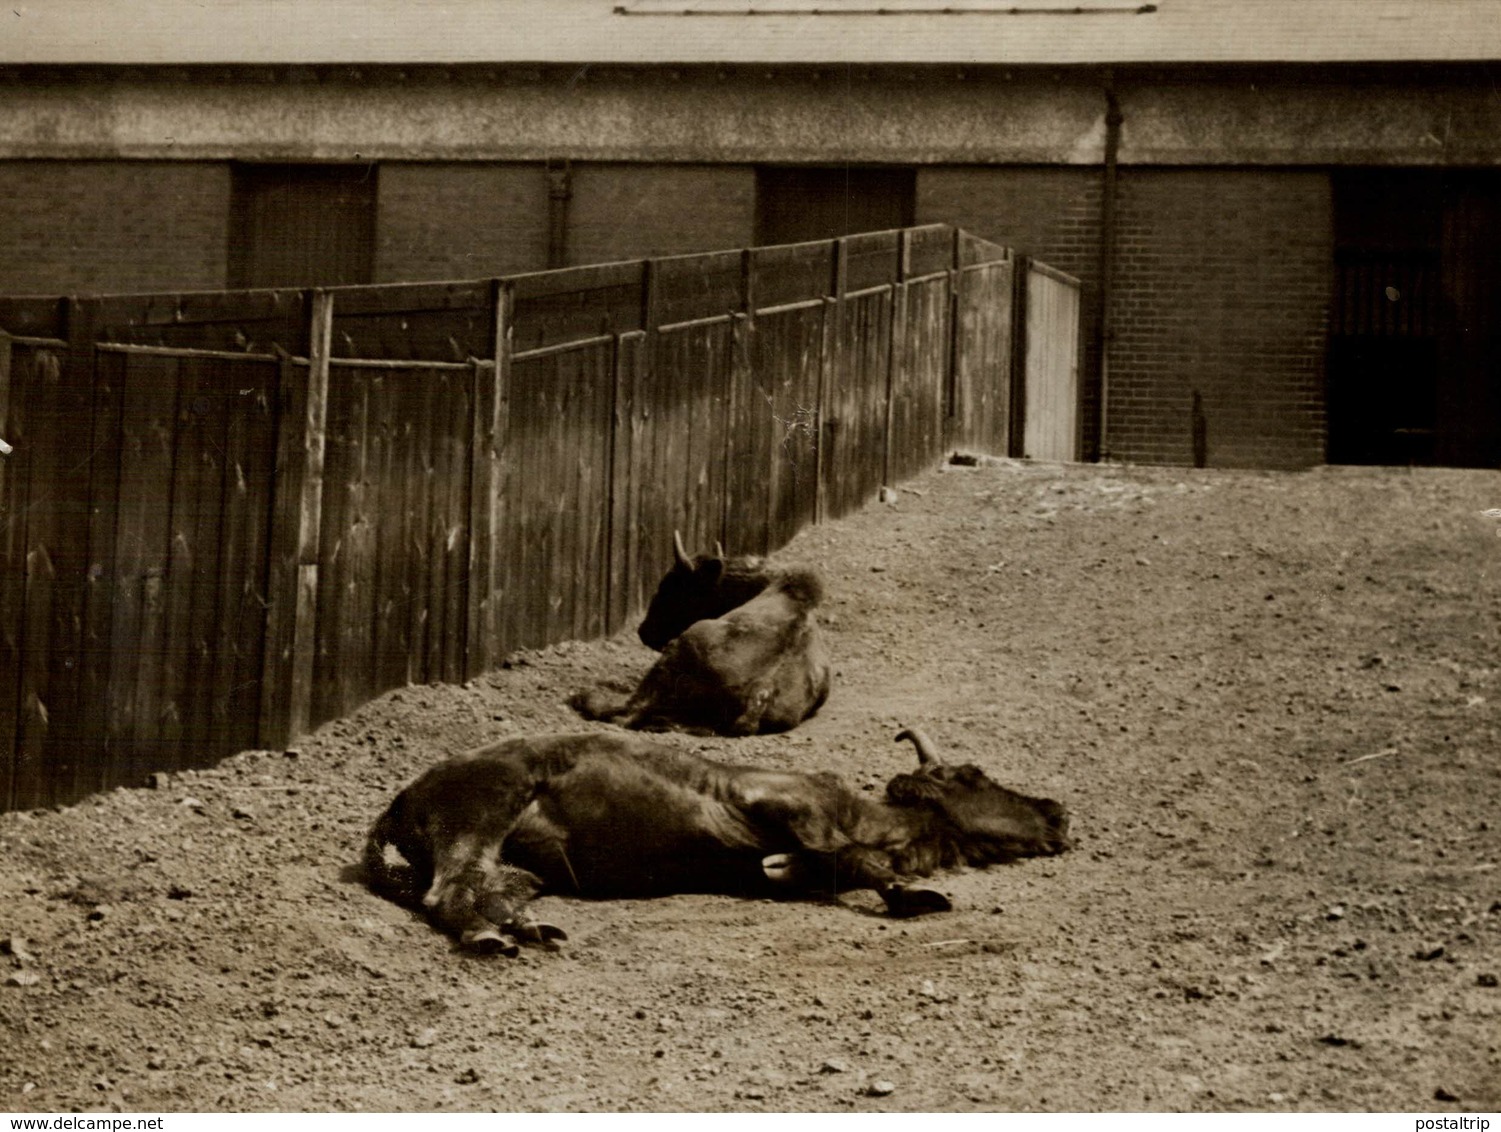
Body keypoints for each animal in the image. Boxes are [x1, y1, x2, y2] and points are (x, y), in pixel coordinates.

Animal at [361, 723, 1068, 954]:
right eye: (974, 776)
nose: (1058, 813)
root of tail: (402, 799)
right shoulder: (781, 804)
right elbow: (848, 858)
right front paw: (914, 895)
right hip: (483, 818)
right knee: (449, 894)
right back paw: (492, 938)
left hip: (519, 865)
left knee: (490, 892)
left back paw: (530, 929)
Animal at [564, 534, 834, 735]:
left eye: (672, 585)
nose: (644, 631)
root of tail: (761, 690)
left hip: (680, 646)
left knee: (627, 712)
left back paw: (582, 696)